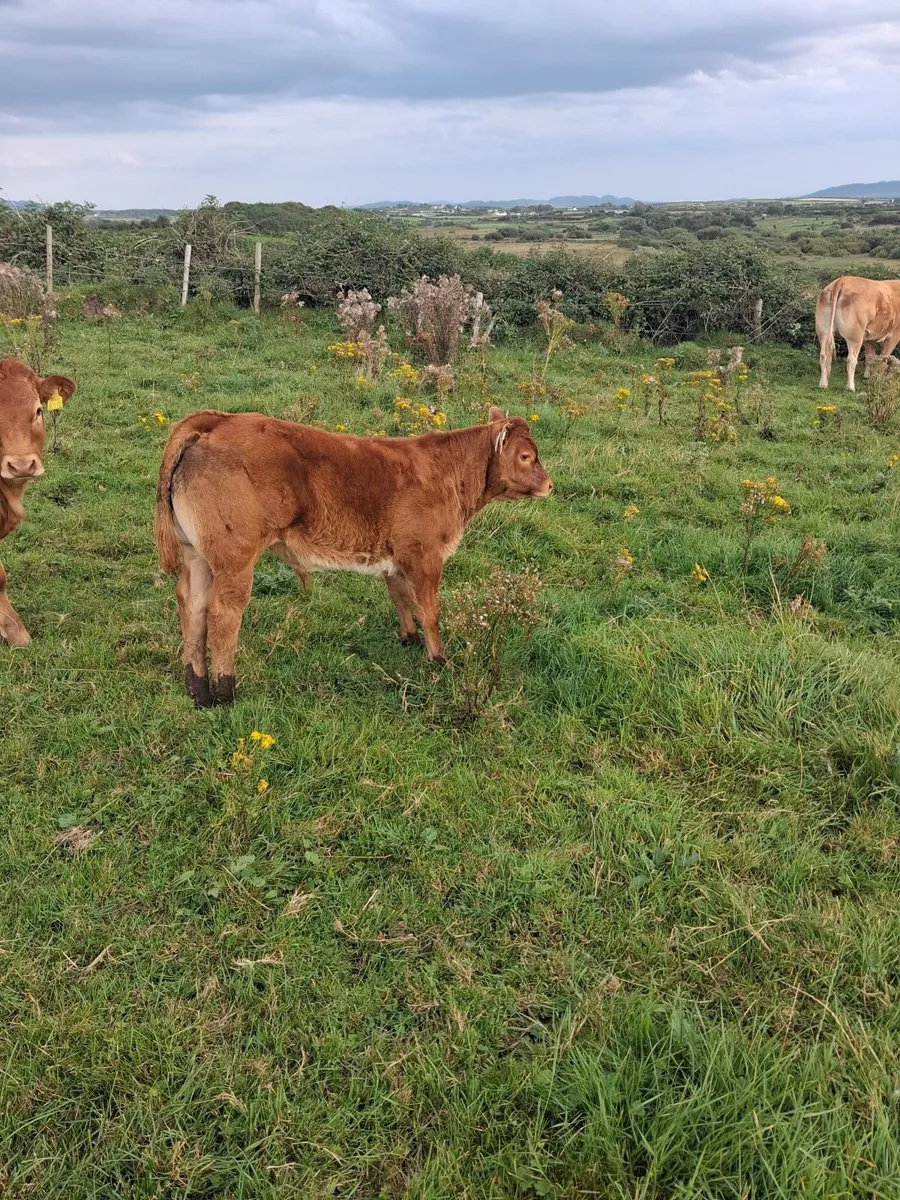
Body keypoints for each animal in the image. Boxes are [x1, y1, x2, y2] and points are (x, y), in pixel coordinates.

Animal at [154, 405, 552, 706]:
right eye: (525, 456)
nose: (550, 485)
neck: (447, 473)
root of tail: (218, 421)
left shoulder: (396, 558)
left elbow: (401, 597)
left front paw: (409, 639)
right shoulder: (426, 556)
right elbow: (430, 611)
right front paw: (439, 659)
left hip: (197, 555)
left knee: (192, 606)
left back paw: (198, 689)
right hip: (235, 557)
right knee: (223, 613)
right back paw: (225, 690)